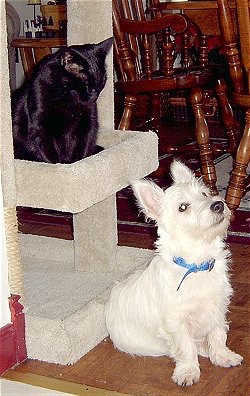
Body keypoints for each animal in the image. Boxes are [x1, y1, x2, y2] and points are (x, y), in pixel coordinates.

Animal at [105, 159, 242, 386]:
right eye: (182, 207)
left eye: (204, 194)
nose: (218, 204)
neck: (196, 264)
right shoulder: (176, 321)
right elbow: (186, 347)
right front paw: (188, 372)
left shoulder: (218, 308)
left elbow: (218, 334)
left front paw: (223, 356)